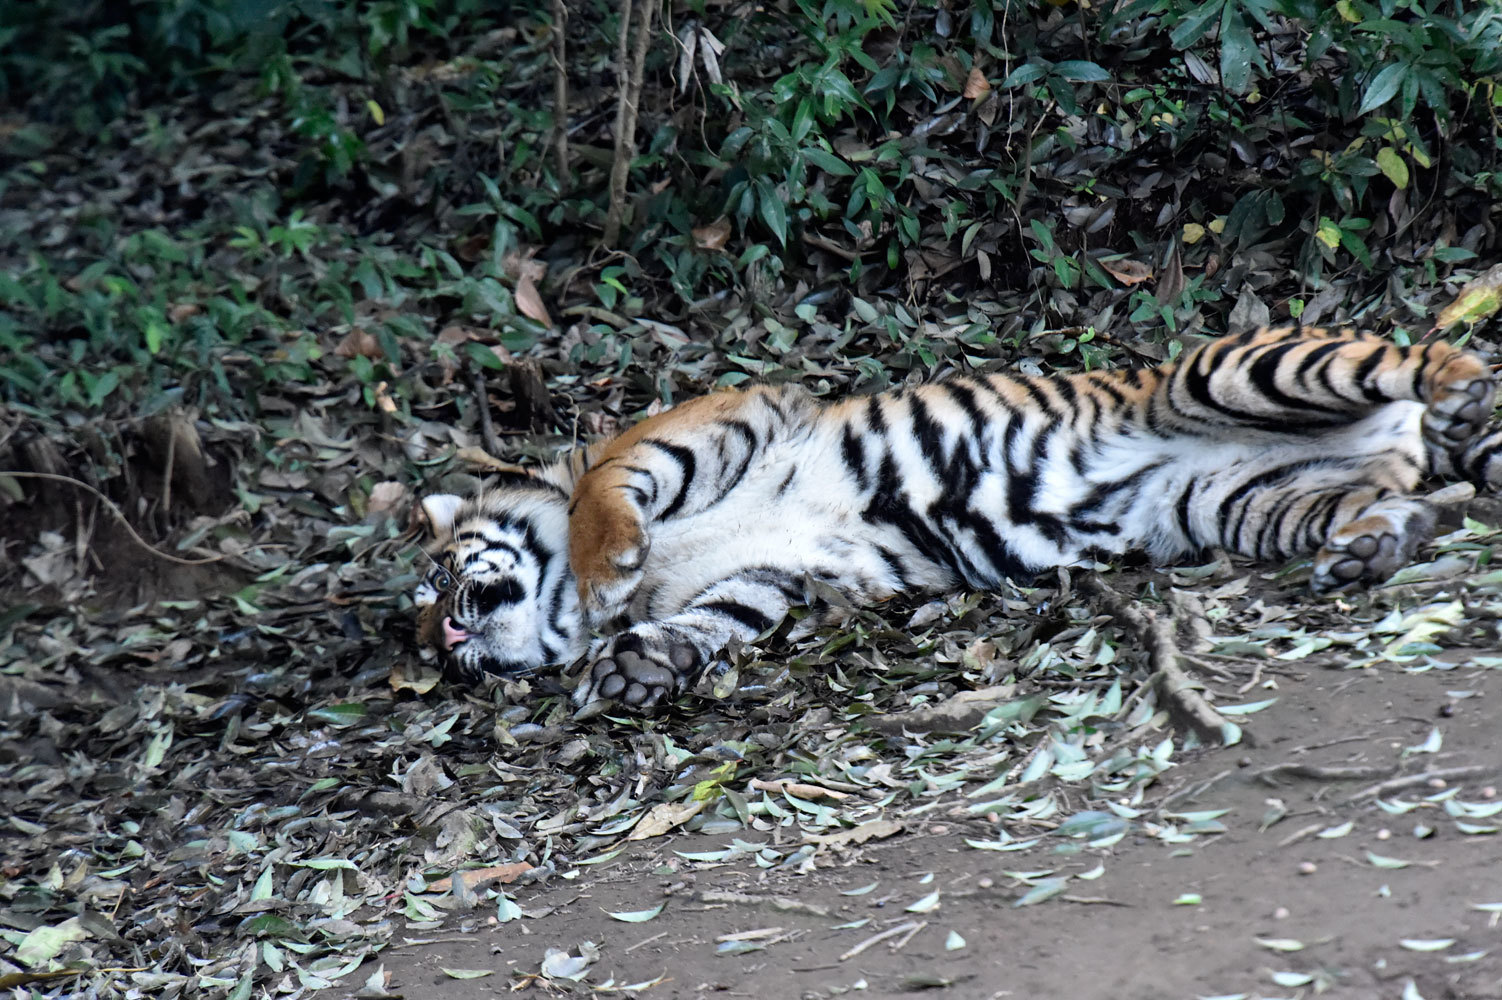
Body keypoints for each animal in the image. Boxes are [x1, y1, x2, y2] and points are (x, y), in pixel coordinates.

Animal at [411, 327, 1502, 708]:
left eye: (436, 579)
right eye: (435, 650)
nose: (452, 645)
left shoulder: (718, 417)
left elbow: (609, 484)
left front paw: (607, 570)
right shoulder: (769, 574)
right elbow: (706, 623)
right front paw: (634, 671)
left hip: (1235, 367)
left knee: (1415, 353)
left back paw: (1458, 389)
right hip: (1252, 504)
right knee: (1399, 501)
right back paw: (1375, 546)